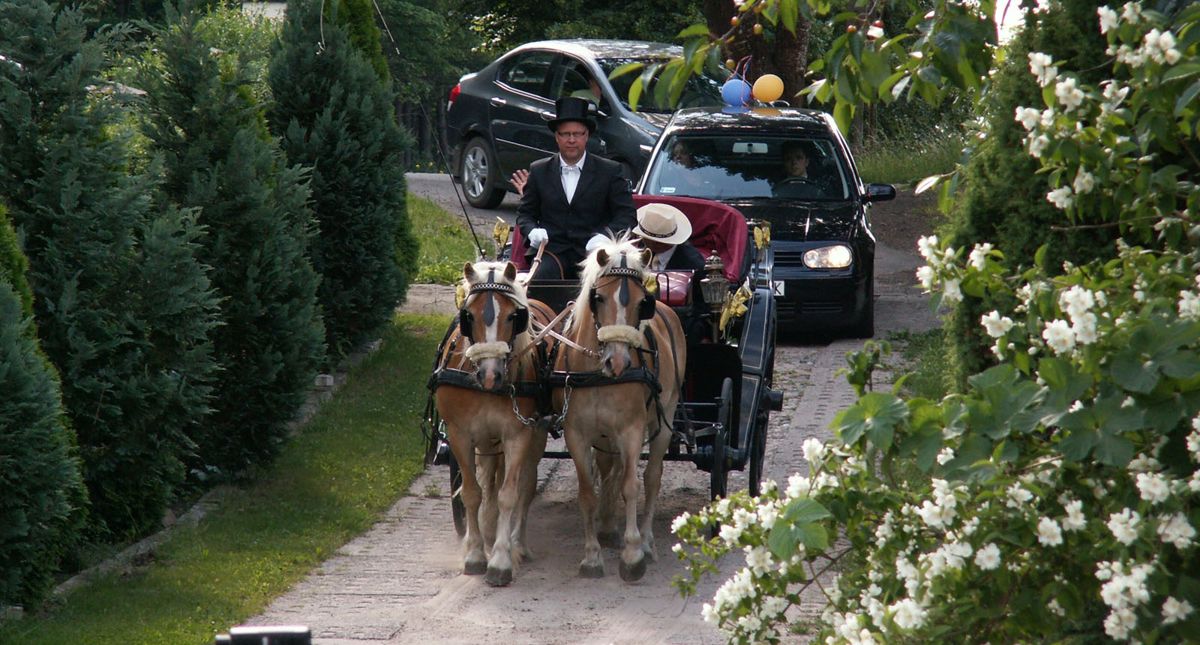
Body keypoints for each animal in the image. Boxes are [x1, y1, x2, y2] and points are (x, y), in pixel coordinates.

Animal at [434, 258, 554, 585]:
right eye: (468, 315)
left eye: (514, 316)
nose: (491, 375)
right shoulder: (460, 434)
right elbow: (472, 492)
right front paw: (475, 554)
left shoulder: (518, 434)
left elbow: (509, 495)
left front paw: (501, 559)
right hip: (487, 439)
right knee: (488, 476)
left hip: (534, 435)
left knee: (526, 483)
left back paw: (517, 543)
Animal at [552, 234, 686, 577]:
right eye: (598, 298)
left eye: (642, 303)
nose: (619, 362)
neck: (598, 375)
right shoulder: (577, 433)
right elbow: (588, 491)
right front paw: (591, 555)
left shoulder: (631, 430)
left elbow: (631, 487)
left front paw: (633, 554)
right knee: (609, 468)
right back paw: (608, 525)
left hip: (664, 418)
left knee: (651, 477)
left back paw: (647, 541)